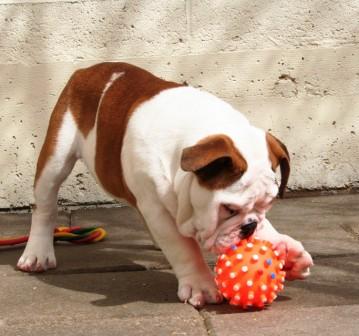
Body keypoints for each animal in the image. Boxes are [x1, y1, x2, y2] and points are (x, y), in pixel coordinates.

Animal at [18, 62, 314, 308]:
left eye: (267, 205)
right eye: (228, 209)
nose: (249, 227)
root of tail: (87, 70)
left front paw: (287, 251)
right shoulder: (158, 210)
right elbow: (182, 248)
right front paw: (200, 285)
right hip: (56, 157)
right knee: (45, 206)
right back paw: (37, 254)